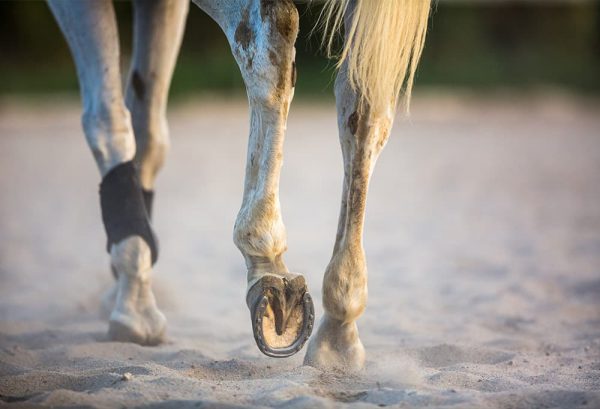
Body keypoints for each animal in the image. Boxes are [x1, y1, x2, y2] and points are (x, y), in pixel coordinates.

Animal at [48, 0, 432, 370]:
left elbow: (107, 119)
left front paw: (133, 301)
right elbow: (146, 128)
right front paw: (129, 279)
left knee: (272, 38)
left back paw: (266, 259)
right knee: (364, 101)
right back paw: (339, 330)